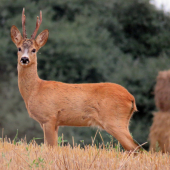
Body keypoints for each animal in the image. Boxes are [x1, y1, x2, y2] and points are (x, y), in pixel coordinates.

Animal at [10, 8, 139, 151]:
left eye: (34, 50)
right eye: (19, 48)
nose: (24, 59)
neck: (35, 90)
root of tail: (131, 98)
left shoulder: (49, 117)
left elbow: (51, 147)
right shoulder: (55, 123)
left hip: (115, 120)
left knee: (136, 148)